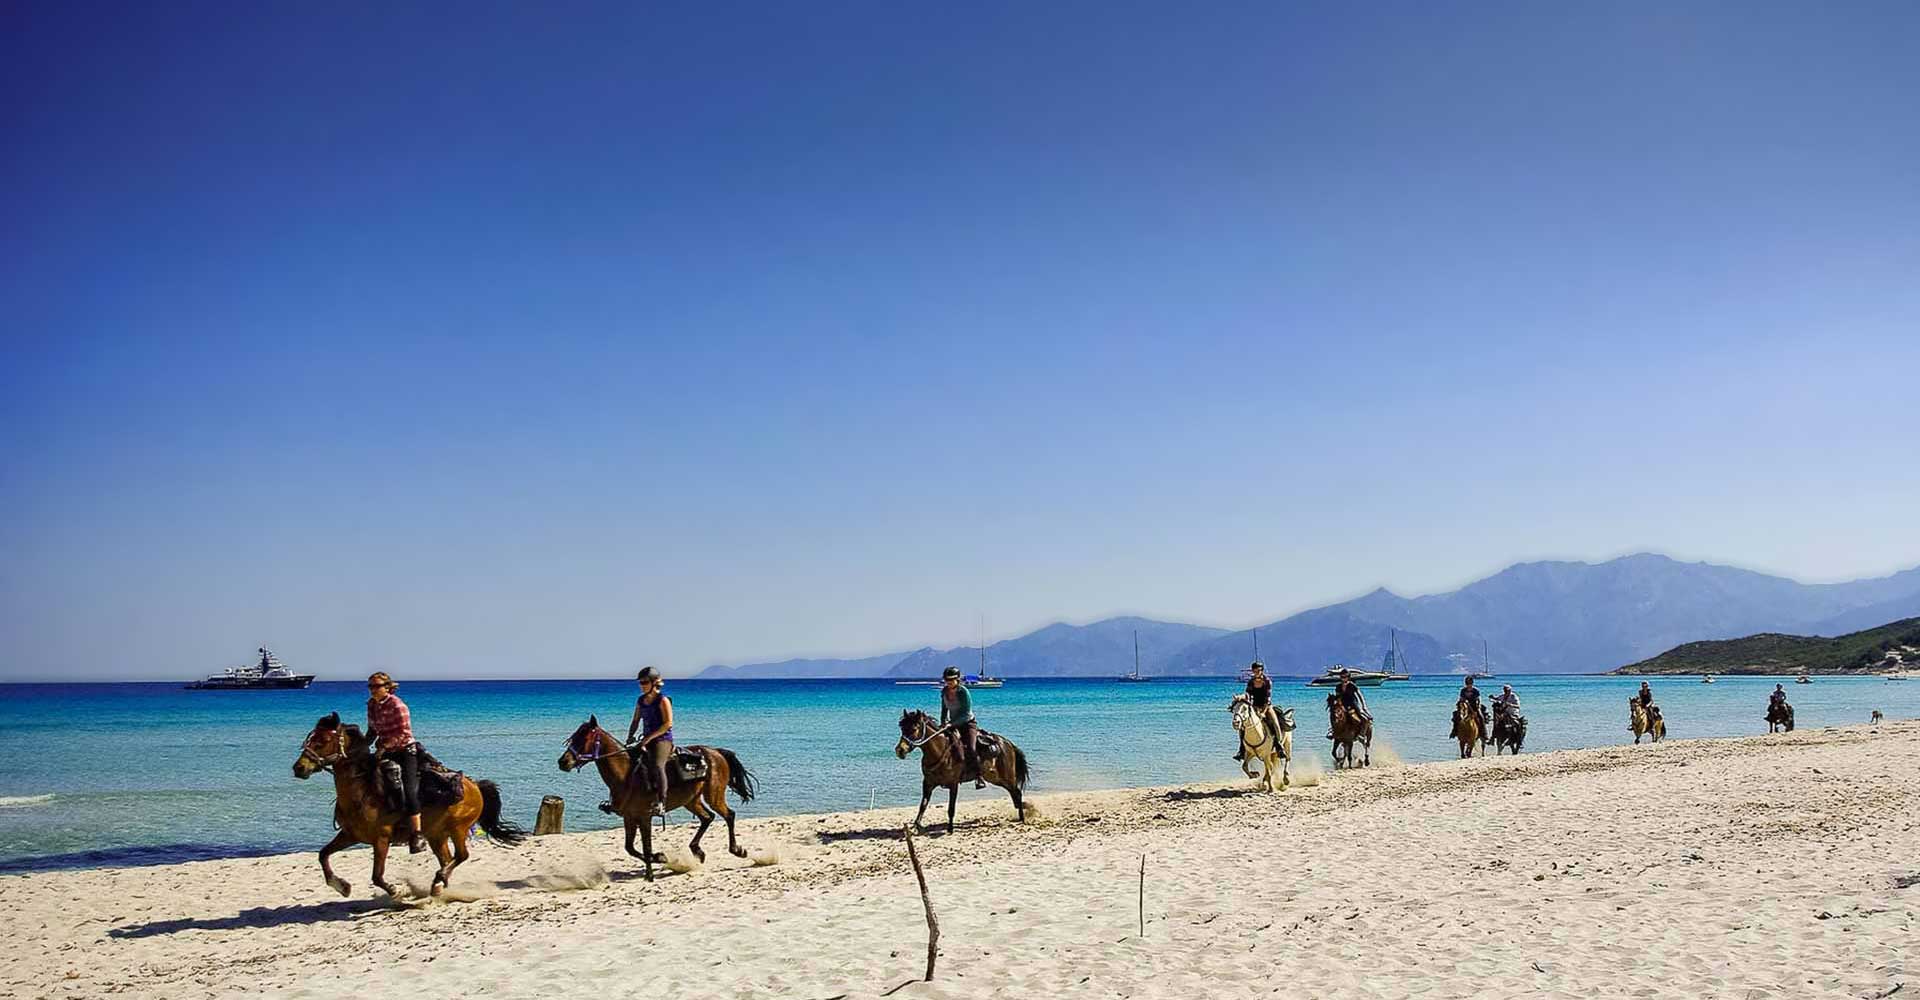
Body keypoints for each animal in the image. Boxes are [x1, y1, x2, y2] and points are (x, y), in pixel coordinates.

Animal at [289, 710, 526, 898]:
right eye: (310, 738)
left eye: (322, 741)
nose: (299, 768)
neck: (363, 791)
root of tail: (474, 785)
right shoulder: (349, 835)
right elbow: (323, 855)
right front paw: (342, 886)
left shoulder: (381, 839)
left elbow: (376, 876)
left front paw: (395, 891)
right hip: (436, 834)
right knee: (447, 859)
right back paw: (438, 886)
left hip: (458, 828)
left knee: (461, 855)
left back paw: (439, 880)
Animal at [556, 710, 756, 882]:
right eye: (573, 737)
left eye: (584, 738)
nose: (562, 762)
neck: (626, 775)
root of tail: (715, 752)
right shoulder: (629, 817)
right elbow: (630, 848)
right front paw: (659, 857)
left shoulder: (645, 817)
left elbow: (646, 846)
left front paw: (650, 873)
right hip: (691, 800)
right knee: (708, 817)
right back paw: (698, 851)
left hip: (713, 795)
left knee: (729, 815)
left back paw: (737, 850)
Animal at [890, 710, 1029, 833]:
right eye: (902, 729)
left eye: (914, 729)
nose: (900, 750)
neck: (940, 750)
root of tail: (1008, 743)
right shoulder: (928, 783)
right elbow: (923, 804)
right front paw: (916, 826)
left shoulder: (953, 784)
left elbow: (951, 808)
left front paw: (950, 829)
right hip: (996, 778)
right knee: (1013, 793)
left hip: (1007, 776)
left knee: (1017, 792)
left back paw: (1023, 818)